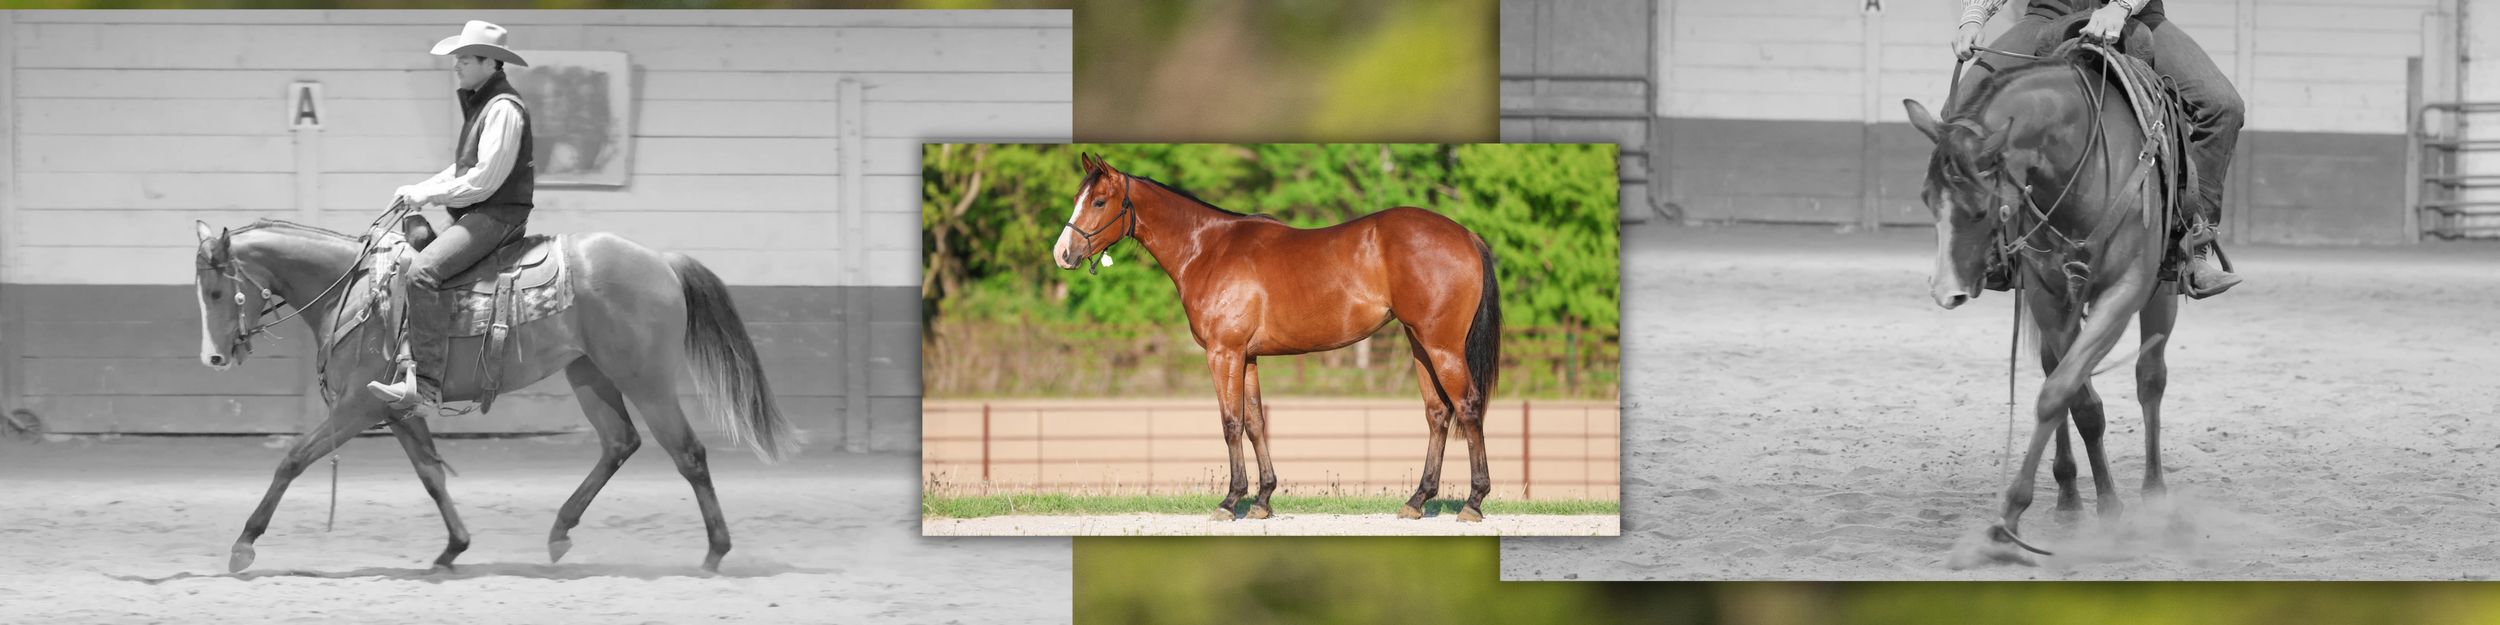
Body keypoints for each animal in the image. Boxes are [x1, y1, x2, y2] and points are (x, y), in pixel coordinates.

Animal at [191, 216, 792, 573]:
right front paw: (453, 547)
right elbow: (431, 475)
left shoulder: (358, 405)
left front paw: (244, 543)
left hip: (645, 379)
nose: (214, 358)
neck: (355, 288)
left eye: (218, 290)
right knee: (620, 444)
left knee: (688, 454)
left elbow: (292, 460)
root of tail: (662, 262)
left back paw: (714, 553)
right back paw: (560, 531)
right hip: (589, 374)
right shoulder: (394, 407)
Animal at [1049, 153, 1503, 522]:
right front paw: (1263, 500)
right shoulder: (1247, 357)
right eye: (1077, 197)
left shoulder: (1224, 353)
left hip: (1442, 347)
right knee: (1437, 414)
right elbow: (1255, 423)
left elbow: (1231, 423)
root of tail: (1466, 235)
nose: (1063, 254)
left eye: (1099, 201)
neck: (1207, 249)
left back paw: (1473, 502)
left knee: (1467, 407)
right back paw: (1417, 500)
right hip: (1419, 345)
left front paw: (1230, 500)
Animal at [1903, 46, 2185, 564]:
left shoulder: (2125, 292)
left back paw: (2155, 496)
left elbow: (2059, 393)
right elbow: (2077, 400)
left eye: (1979, 209)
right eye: (1927, 198)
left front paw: (2011, 519)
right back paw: (2069, 497)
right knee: (2060, 370)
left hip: (2163, 293)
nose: (1945, 292)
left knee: (2150, 378)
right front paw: (2097, 505)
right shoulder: (2046, 295)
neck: (2084, 167)